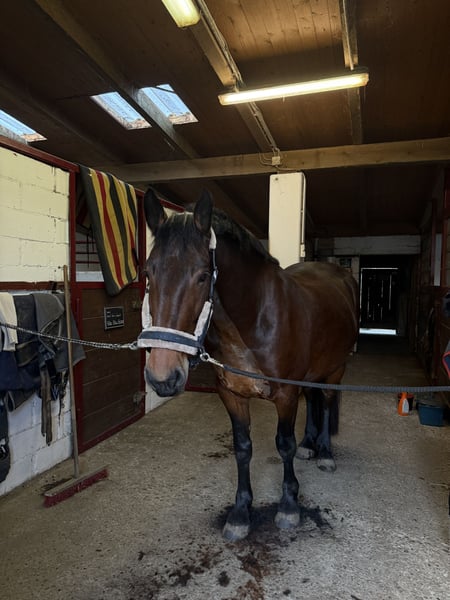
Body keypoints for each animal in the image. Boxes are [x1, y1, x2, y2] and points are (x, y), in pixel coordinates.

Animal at [139, 188, 359, 541]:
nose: (162, 376)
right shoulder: (231, 395)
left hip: (335, 369)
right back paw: (310, 445)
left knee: (325, 401)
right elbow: (242, 448)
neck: (253, 321)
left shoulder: (285, 395)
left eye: (202, 276)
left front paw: (288, 506)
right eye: (148, 273)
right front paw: (241, 512)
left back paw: (324, 452)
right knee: (313, 400)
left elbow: (284, 444)